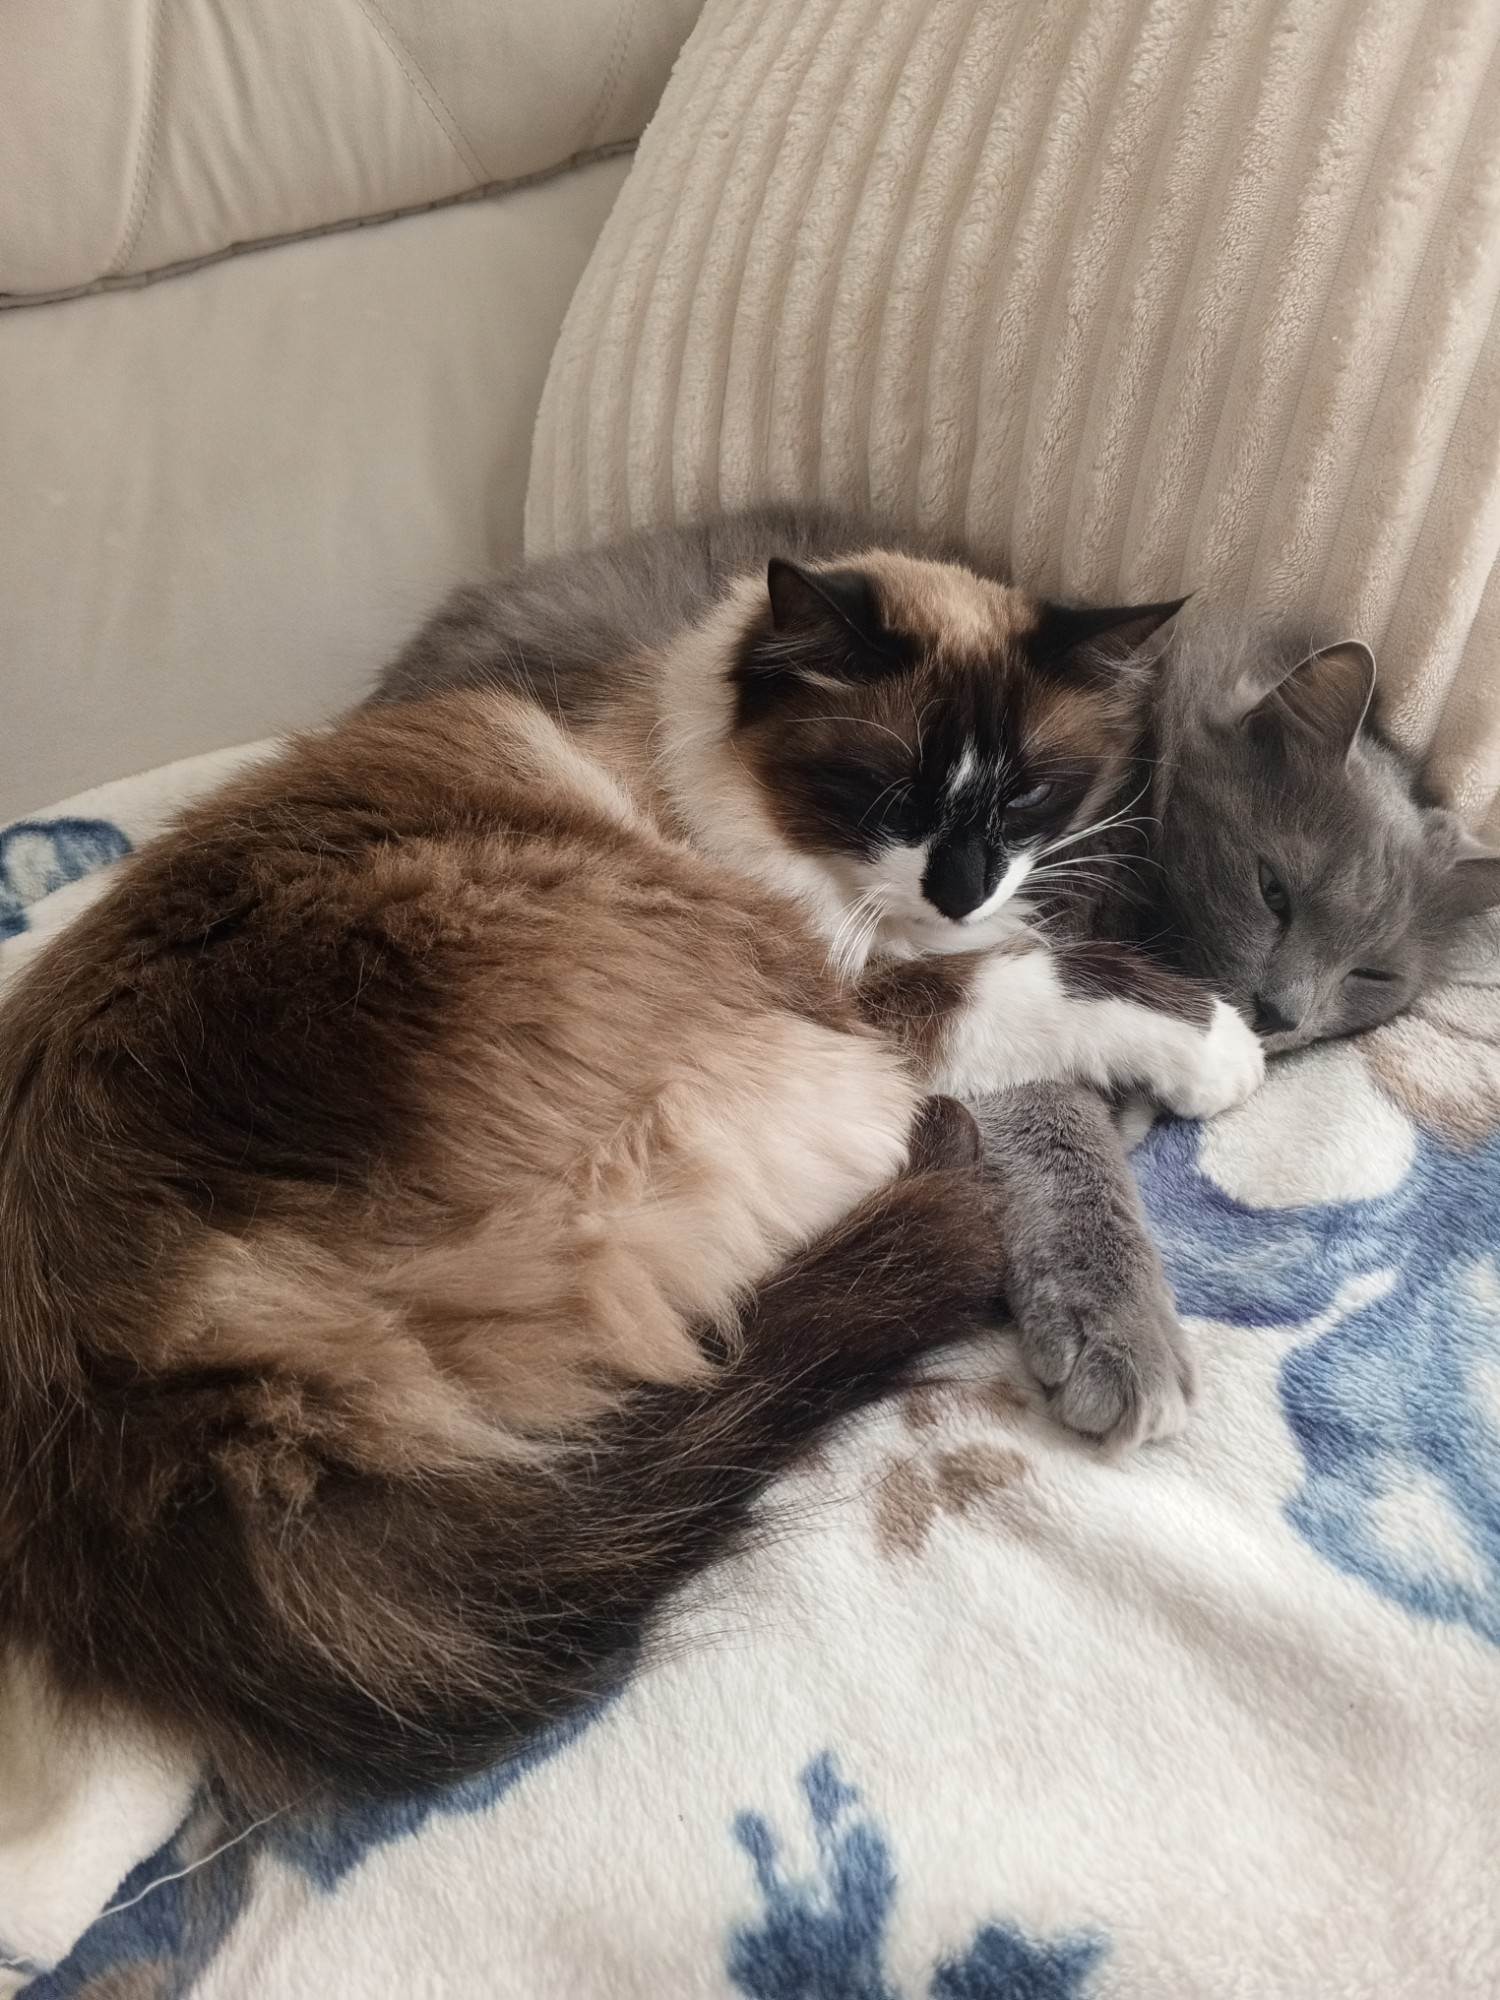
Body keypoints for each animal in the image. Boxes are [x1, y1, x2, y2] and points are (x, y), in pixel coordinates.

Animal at [0, 541, 1263, 1808]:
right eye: (888, 796)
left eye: (1025, 799)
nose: (960, 887)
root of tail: (154, 1407)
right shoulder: (858, 996)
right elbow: (1046, 981)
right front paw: (1224, 1053)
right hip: (815, 1082)